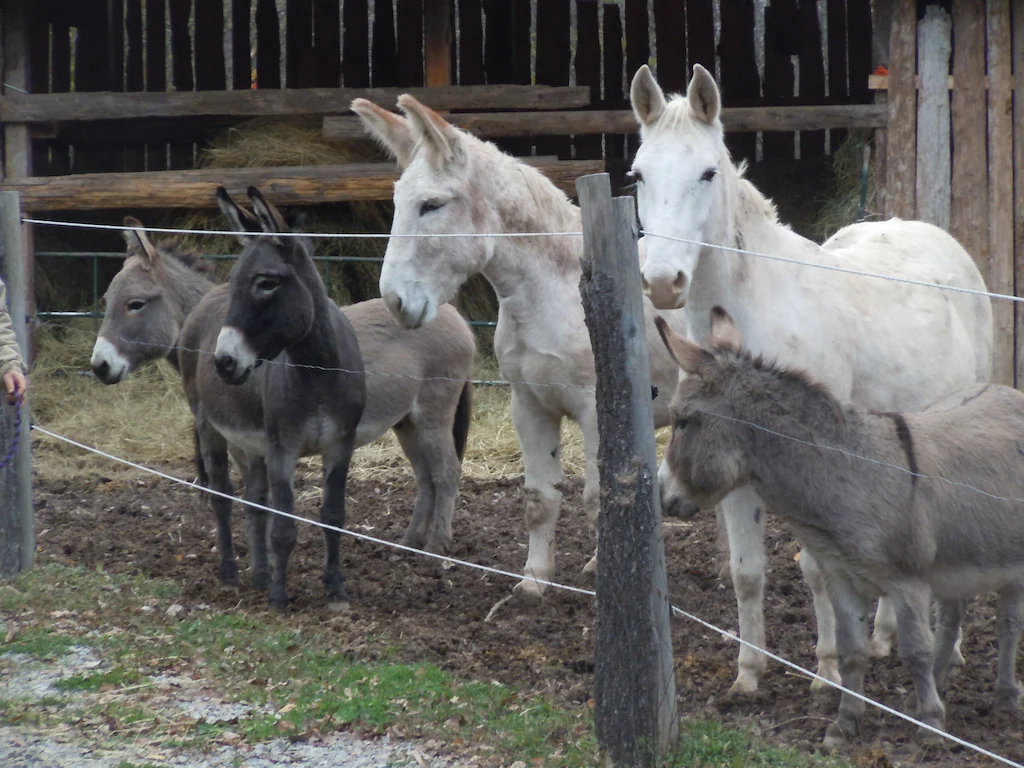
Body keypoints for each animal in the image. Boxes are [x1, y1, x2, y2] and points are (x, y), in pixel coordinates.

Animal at [91, 195, 475, 610]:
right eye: (106, 301)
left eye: (135, 304)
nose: (99, 366)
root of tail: (454, 314)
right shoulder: (255, 442)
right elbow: (258, 503)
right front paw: (263, 576)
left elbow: (264, 505)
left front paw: (269, 580)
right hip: (407, 422)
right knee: (425, 476)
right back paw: (408, 544)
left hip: (433, 413)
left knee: (446, 472)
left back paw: (436, 547)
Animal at [351, 95, 692, 600]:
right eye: (395, 204)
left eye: (432, 205)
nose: (395, 302)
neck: (556, 291)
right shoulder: (528, 405)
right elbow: (538, 499)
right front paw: (534, 581)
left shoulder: (595, 411)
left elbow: (598, 499)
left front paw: (600, 577)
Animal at [628, 63, 993, 696]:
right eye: (639, 174)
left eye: (707, 172)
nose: (663, 283)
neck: (758, 307)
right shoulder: (731, 464)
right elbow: (747, 571)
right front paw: (748, 675)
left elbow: (818, 569)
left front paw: (828, 672)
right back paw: (885, 637)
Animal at [655, 307, 1024, 748]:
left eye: (681, 422)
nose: (661, 495)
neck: (849, 475)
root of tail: (1009, 391)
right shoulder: (844, 579)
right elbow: (852, 653)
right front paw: (845, 723)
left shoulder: (908, 583)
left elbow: (915, 650)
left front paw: (931, 724)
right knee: (953, 617)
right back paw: (935, 687)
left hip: (1010, 564)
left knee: (1007, 624)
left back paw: (1004, 696)